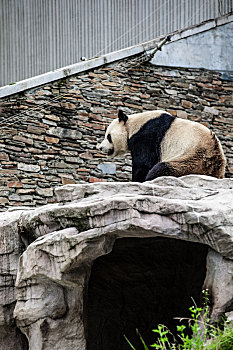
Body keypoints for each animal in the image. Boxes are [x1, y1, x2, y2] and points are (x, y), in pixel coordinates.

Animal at [97, 110, 227, 183]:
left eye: (108, 136)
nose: (100, 147)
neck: (133, 125)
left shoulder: (147, 136)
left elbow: (143, 163)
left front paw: (136, 180)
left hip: (192, 160)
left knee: (162, 168)